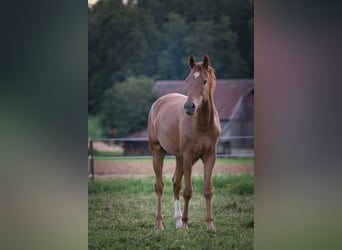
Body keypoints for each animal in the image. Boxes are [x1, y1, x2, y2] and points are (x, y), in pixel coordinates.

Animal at [148, 54, 222, 230]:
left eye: (204, 81)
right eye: (187, 80)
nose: (189, 107)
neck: (203, 124)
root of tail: (157, 103)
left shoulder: (210, 156)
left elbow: (208, 190)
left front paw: (210, 225)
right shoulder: (188, 157)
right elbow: (188, 191)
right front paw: (186, 225)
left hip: (179, 157)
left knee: (176, 183)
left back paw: (177, 220)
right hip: (158, 151)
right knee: (159, 186)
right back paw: (159, 223)